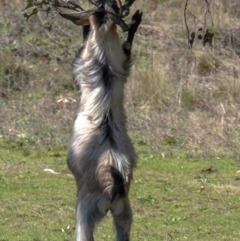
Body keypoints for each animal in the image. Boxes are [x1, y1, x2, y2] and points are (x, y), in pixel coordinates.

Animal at [55, 0, 142, 240]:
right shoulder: (123, 65)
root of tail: (114, 183)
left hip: (85, 210)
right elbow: (128, 47)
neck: (104, 69)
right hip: (124, 213)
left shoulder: (79, 67)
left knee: (83, 232)